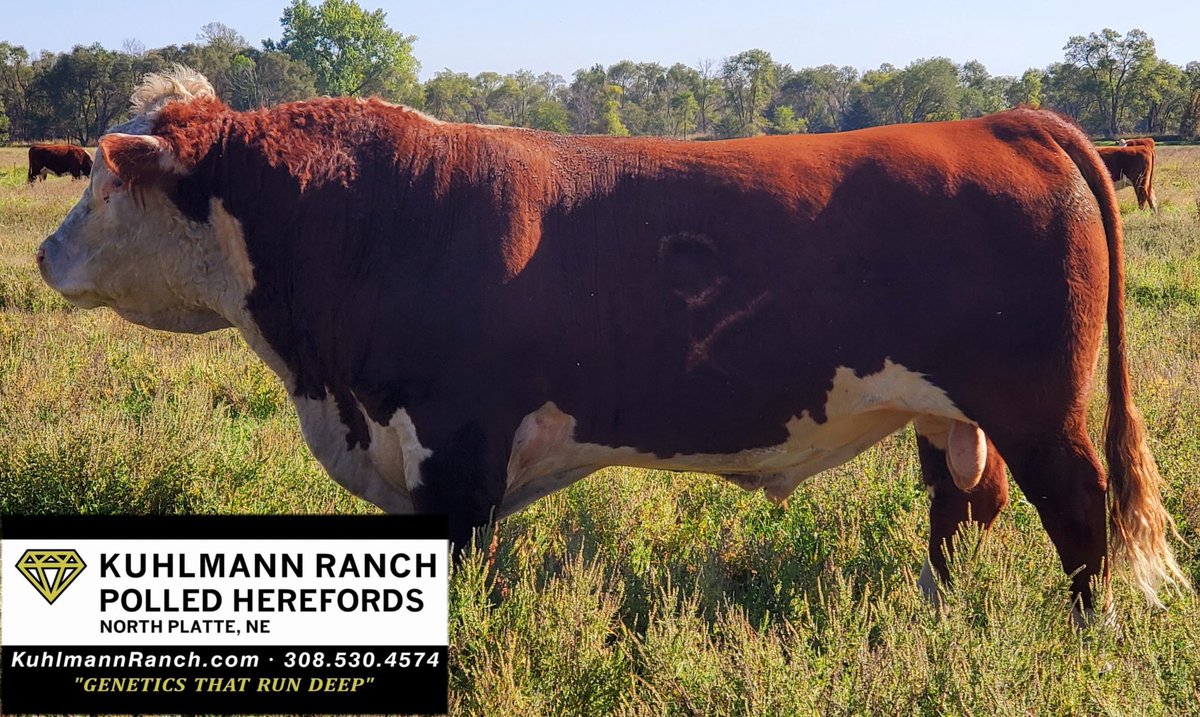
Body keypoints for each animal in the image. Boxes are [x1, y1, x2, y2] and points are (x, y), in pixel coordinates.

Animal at [38, 68, 1187, 622]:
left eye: (104, 173)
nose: (45, 252)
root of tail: (1007, 120)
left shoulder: (458, 447)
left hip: (1040, 410)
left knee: (1083, 517)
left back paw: (1089, 636)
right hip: (952, 414)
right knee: (961, 510)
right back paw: (938, 616)